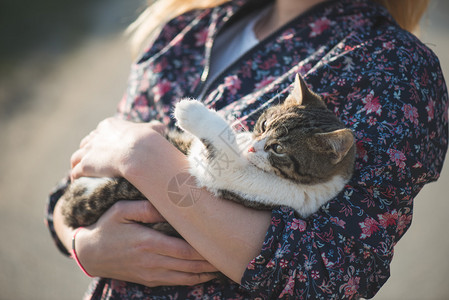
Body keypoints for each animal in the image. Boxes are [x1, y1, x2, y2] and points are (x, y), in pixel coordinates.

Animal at [60, 74, 354, 231]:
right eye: (263, 125)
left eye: (279, 149)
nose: (252, 147)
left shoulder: (236, 181)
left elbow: (218, 151)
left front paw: (189, 110)